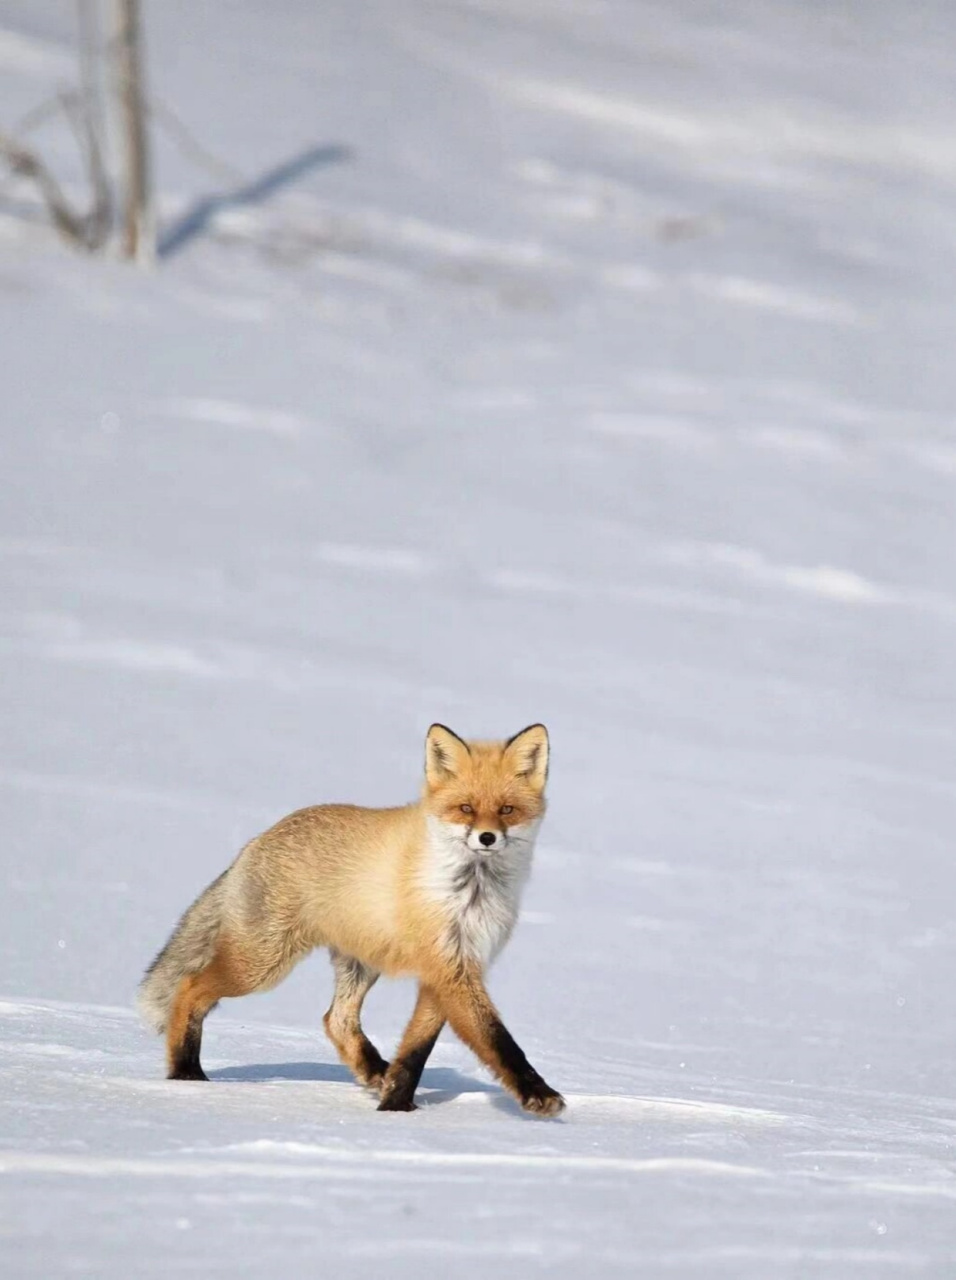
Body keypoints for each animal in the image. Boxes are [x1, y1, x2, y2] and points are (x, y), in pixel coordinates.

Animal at [138, 727, 565, 1116]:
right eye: (466, 808)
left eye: (507, 809)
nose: (487, 837)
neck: (471, 891)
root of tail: (257, 841)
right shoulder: (449, 967)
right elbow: (496, 1038)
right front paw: (538, 1094)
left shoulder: (453, 966)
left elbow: (416, 1048)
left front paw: (396, 1106)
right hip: (261, 966)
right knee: (189, 987)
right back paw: (186, 1073)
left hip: (359, 963)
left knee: (336, 1020)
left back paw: (375, 1070)